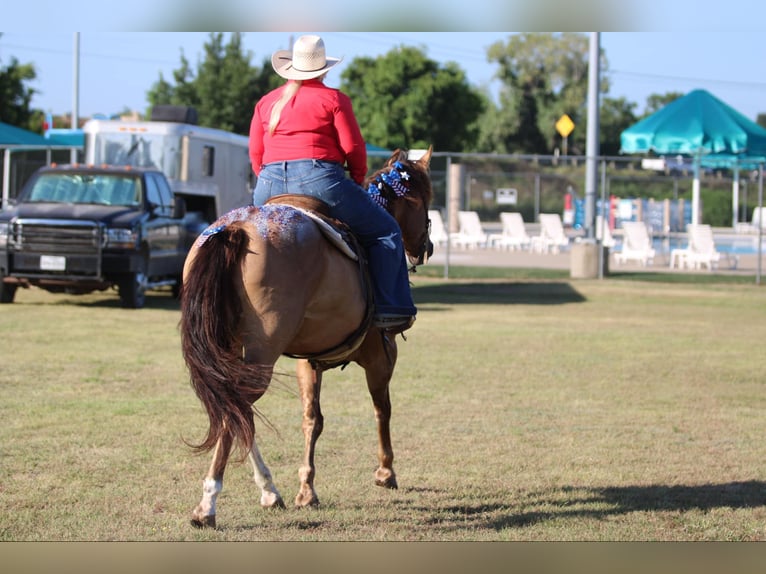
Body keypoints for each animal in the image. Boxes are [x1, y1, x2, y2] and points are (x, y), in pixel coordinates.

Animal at [179, 147, 434, 528]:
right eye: (426, 199)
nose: (425, 247)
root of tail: (237, 229)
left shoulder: (308, 363)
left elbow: (312, 420)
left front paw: (306, 490)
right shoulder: (381, 357)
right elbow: (381, 409)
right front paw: (385, 472)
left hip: (230, 347)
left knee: (235, 409)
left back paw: (269, 491)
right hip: (262, 350)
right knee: (236, 410)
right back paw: (208, 503)